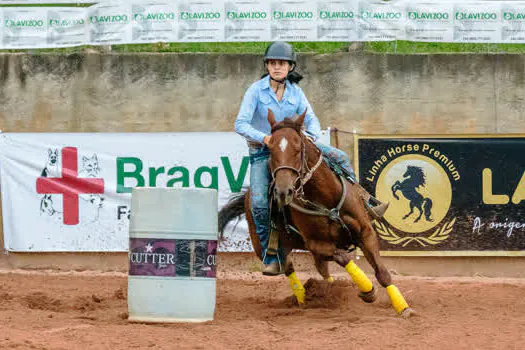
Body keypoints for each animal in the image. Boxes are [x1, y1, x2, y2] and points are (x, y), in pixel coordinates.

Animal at [218, 109, 414, 318]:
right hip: (265, 242)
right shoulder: (316, 244)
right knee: (288, 266)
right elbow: (343, 257)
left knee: (323, 272)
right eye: (270, 150)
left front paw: (403, 307)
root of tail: (247, 195)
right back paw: (305, 298)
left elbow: (382, 273)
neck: (326, 198)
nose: (283, 192)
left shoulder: (365, 231)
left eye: (298, 148)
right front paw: (368, 290)